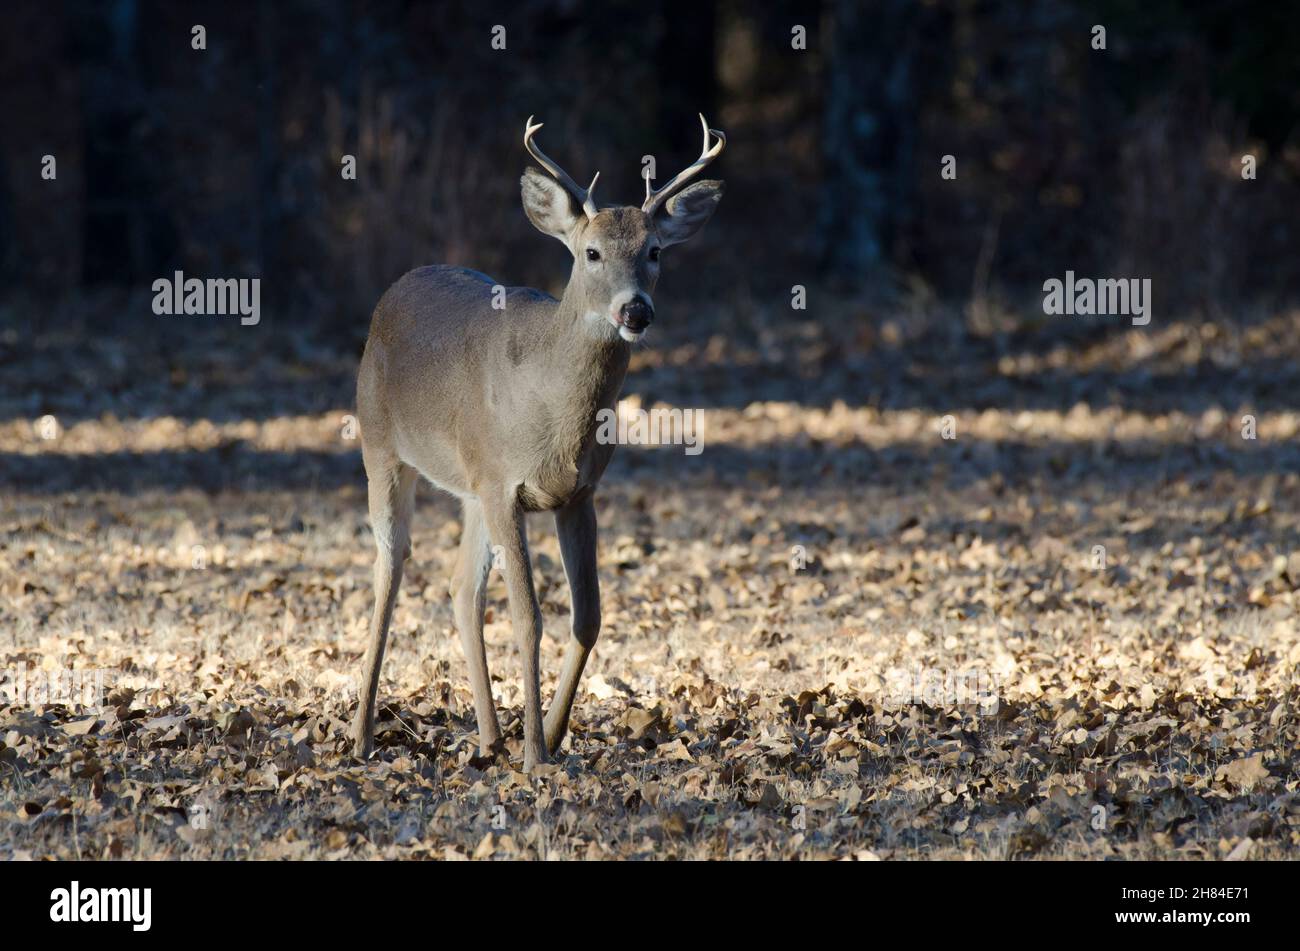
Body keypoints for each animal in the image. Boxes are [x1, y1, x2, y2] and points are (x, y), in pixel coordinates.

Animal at [349, 115, 725, 771]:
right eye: (591, 253)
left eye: (654, 251)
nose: (636, 310)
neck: (554, 414)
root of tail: (399, 285)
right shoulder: (505, 485)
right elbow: (528, 619)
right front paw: (535, 756)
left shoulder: (577, 493)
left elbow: (589, 617)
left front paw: (549, 732)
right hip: (384, 449)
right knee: (389, 570)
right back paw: (363, 734)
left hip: (470, 486)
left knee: (460, 588)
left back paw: (488, 738)